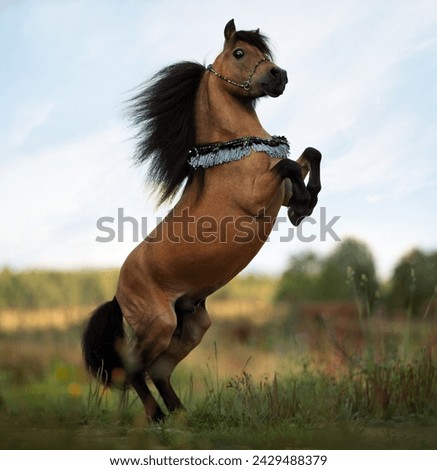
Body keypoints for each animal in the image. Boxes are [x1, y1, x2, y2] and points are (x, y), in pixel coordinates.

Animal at [82, 19, 320, 422]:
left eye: (264, 53)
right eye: (239, 53)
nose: (279, 76)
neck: (236, 151)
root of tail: (117, 292)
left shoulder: (280, 188)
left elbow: (308, 155)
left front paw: (305, 204)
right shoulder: (258, 197)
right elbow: (289, 164)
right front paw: (303, 206)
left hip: (192, 324)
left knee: (159, 369)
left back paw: (181, 416)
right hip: (159, 325)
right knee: (134, 368)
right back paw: (158, 419)